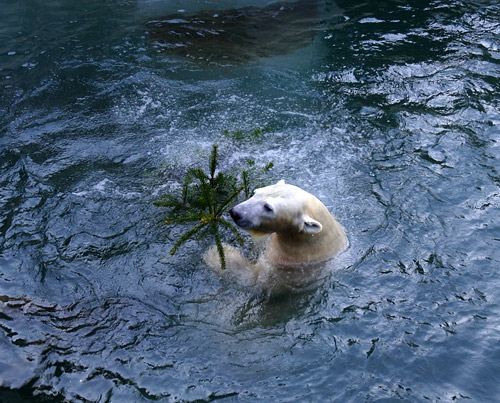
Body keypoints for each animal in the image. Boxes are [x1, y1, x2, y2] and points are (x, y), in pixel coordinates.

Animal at [203, 181, 348, 290]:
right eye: (255, 192)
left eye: (268, 207)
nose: (235, 213)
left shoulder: (282, 271)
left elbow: (252, 278)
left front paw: (217, 253)